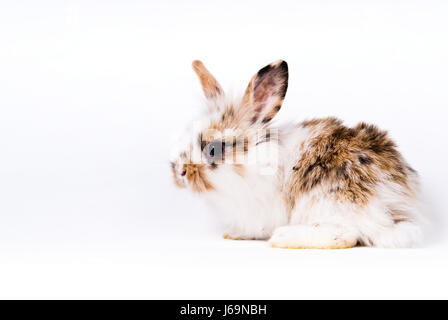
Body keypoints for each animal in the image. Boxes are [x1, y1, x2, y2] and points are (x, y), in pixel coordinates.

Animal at [169, 60, 424, 249]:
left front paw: (236, 234)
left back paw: (284, 237)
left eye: (213, 149)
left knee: (346, 235)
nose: (180, 173)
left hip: (329, 201)